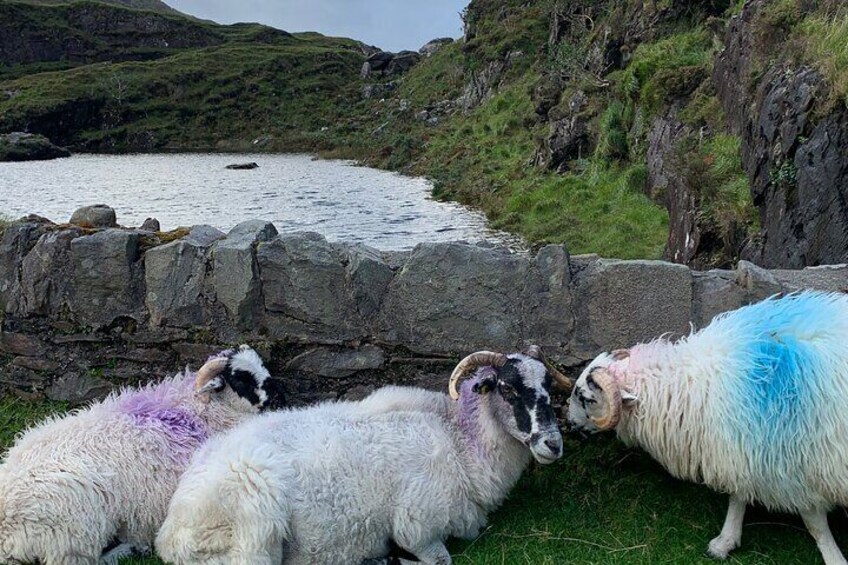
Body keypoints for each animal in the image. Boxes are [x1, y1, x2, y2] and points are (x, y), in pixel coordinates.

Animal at [0, 344, 284, 564]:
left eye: (260, 365)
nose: (277, 393)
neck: (192, 411)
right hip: (74, 534)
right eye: (241, 378)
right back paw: (129, 549)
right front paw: (140, 543)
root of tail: (7, 531)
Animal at [157, 344, 572, 564]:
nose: (553, 444)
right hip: (256, 525)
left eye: (550, 387)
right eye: (507, 389)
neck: (458, 441)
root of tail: (171, 530)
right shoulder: (417, 525)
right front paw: (393, 556)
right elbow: (441, 558)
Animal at [564, 290, 848, 564]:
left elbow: (814, 522)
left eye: (586, 397)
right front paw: (725, 542)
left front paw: (834, 557)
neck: (686, 384)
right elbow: (739, 495)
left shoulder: (798, 463)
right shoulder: (745, 448)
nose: (569, 423)